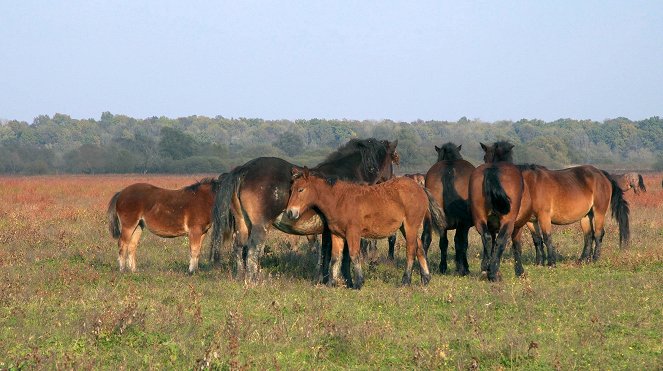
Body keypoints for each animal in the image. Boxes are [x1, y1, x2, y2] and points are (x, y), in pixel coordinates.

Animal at [211, 138, 400, 284]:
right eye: (393, 159)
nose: (391, 181)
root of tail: (245, 168)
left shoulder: (328, 230)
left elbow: (326, 253)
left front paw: (324, 279)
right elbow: (342, 255)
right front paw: (342, 280)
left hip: (243, 224)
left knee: (239, 248)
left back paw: (240, 278)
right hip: (261, 225)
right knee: (253, 250)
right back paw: (255, 281)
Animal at [286, 167, 446, 290]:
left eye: (301, 190)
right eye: (291, 189)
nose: (290, 212)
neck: (339, 200)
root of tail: (420, 188)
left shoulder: (353, 233)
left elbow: (354, 255)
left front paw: (358, 283)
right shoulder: (336, 234)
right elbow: (335, 257)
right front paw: (332, 283)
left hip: (411, 226)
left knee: (411, 250)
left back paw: (405, 281)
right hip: (404, 228)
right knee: (419, 248)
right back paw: (425, 278)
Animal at [422, 142, 474, 276]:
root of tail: (449, 170)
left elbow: (443, 243)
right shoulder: (464, 225)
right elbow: (462, 242)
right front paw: (464, 267)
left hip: (431, 218)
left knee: (426, 239)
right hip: (462, 223)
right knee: (460, 242)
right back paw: (462, 269)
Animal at [466, 142, 528, 282]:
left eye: (485, 157)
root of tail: (493, 169)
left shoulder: (491, 225)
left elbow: (491, 242)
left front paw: (486, 266)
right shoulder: (517, 226)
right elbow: (516, 246)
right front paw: (520, 272)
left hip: (479, 218)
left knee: (487, 238)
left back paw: (487, 270)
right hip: (508, 221)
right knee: (501, 240)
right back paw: (494, 273)